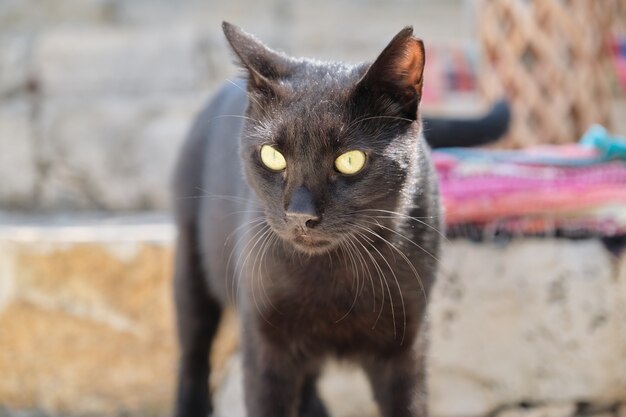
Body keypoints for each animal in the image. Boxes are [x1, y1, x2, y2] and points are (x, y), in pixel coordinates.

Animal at [173, 22, 504, 416]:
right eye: (272, 156)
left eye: (350, 160)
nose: (300, 214)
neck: (335, 274)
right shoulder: (264, 342)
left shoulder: (407, 345)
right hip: (190, 264)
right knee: (193, 352)